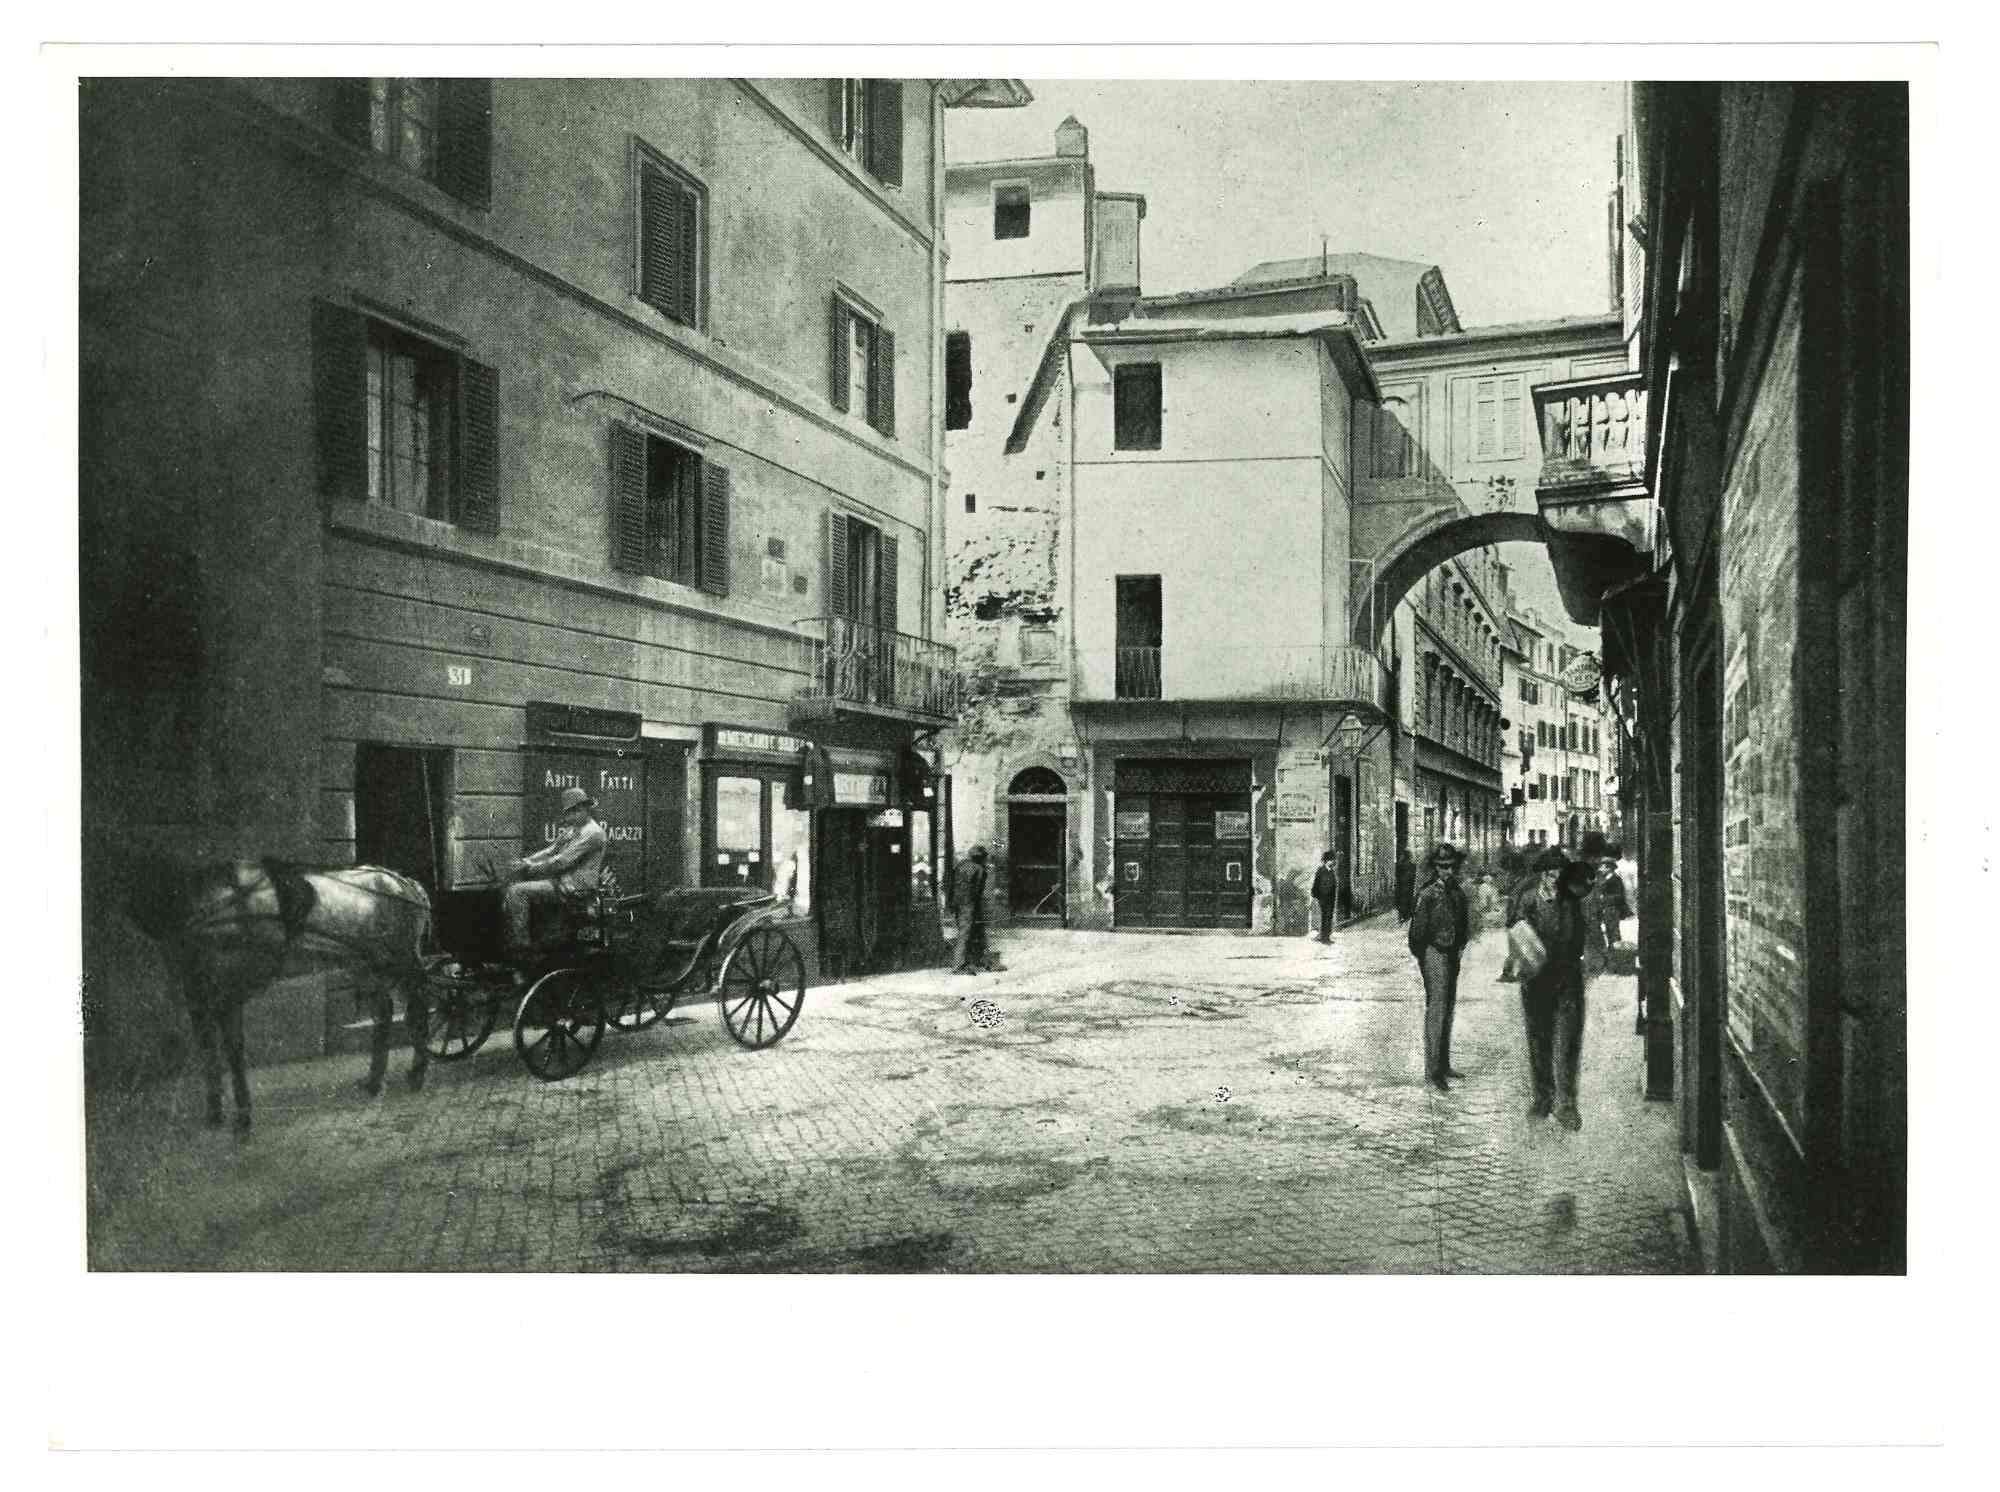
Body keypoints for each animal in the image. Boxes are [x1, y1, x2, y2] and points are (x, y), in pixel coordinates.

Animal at [125, 856, 442, 1136]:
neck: (219, 908)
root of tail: (405, 884)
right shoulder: (197, 998)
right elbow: (208, 1050)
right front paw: (215, 1113)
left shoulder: (229, 994)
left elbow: (234, 1051)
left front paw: (243, 1119)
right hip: (365, 963)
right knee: (385, 1012)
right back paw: (375, 1081)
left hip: (400, 960)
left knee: (417, 1008)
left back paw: (417, 1074)